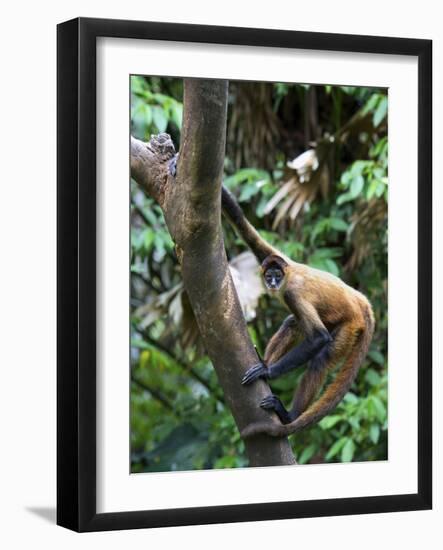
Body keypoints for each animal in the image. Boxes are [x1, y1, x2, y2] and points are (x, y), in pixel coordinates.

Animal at [222, 189, 374, 440]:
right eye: (269, 276)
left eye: (277, 276)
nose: (273, 283)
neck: (289, 275)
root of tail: (360, 302)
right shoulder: (280, 261)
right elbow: (248, 232)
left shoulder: (293, 292)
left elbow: (319, 337)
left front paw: (268, 371)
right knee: (293, 322)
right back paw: (264, 361)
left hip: (351, 325)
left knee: (321, 357)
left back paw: (288, 415)